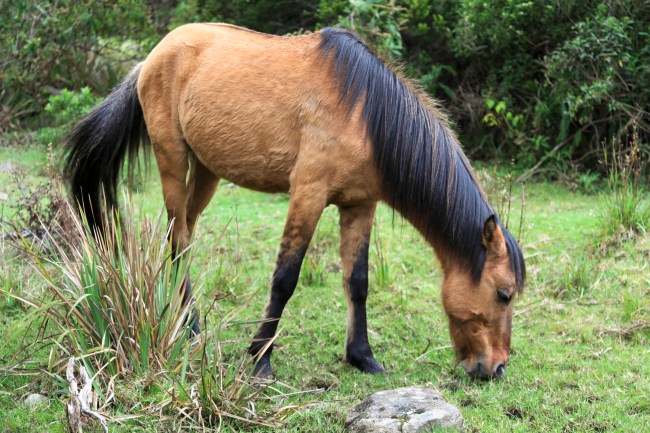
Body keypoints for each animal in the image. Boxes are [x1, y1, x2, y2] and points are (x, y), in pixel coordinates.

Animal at [65, 23, 525, 380]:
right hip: (172, 161)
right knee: (178, 239)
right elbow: (285, 279)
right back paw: (191, 326)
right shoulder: (308, 194)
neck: (366, 113)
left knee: (182, 236)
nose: (496, 368)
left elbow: (358, 282)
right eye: (504, 294)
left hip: (207, 171)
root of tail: (153, 57)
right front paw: (260, 359)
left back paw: (180, 316)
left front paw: (362, 357)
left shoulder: (360, 205)